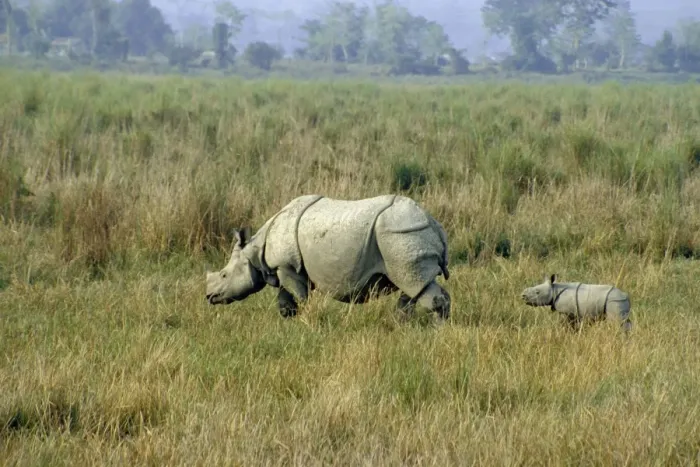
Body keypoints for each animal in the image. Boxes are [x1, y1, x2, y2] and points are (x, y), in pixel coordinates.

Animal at [205, 194, 451, 320]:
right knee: (413, 285)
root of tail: (433, 223)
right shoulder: (284, 268)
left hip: (400, 234)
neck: (255, 249)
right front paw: (288, 321)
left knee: (415, 283)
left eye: (224, 275)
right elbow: (285, 301)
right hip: (405, 236)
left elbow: (299, 297)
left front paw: (302, 321)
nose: (209, 297)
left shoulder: (288, 266)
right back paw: (404, 325)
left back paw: (435, 329)